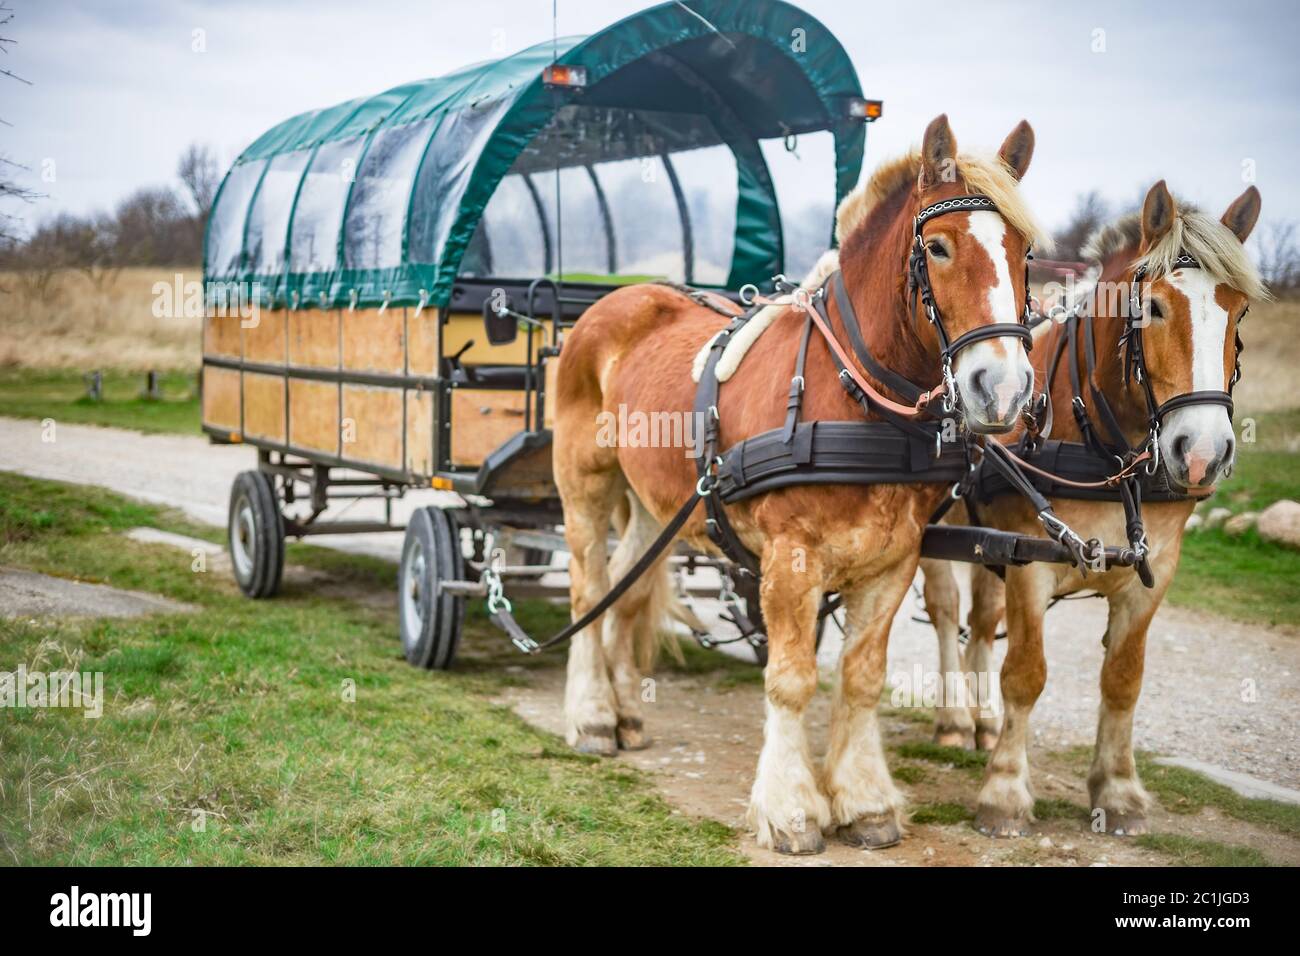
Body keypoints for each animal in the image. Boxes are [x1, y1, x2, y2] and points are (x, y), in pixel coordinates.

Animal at [552, 114, 1048, 853]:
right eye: (937, 247)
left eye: (1025, 254)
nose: (1005, 388)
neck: (855, 396)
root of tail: (623, 296)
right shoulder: (791, 561)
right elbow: (789, 680)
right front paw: (791, 809)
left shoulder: (891, 561)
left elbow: (862, 679)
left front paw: (865, 801)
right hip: (585, 480)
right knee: (588, 586)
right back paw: (589, 717)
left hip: (654, 504)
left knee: (626, 586)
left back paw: (624, 714)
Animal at [917, 180, 1265, 836]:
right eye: (1153, 308)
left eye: (1237, 310)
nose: (1202, 453)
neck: (1107, 452)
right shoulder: (1031, 563)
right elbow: (1025, 675)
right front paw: (1005, 792)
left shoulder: (1155, 572)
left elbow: (1123, 681)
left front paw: (1118, 790)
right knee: (948, 612)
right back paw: (953, 719)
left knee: (981, 616)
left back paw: (980, 722)